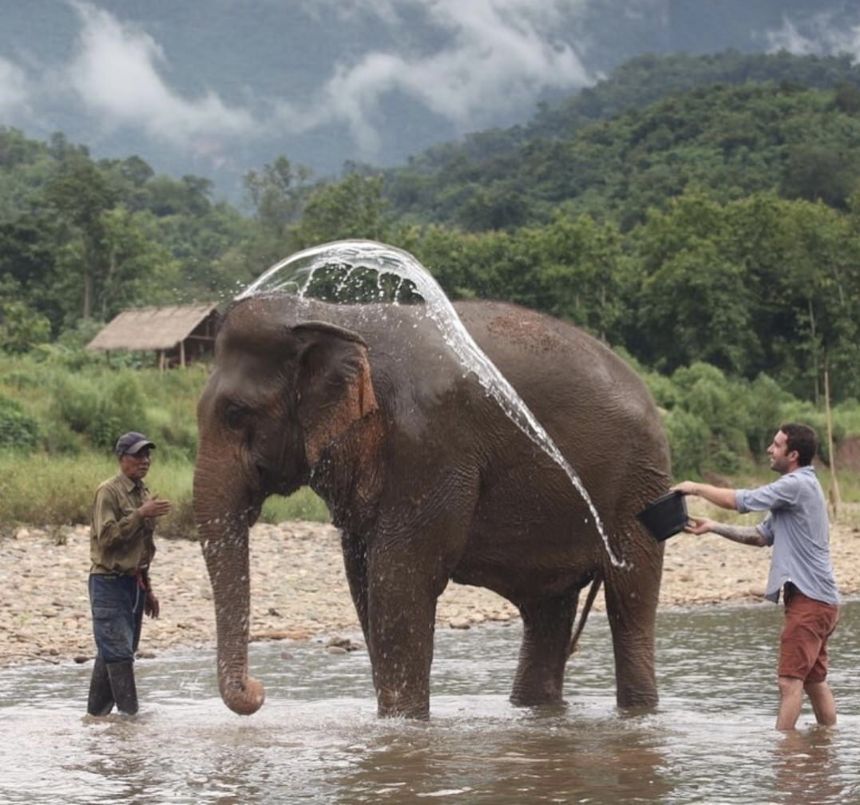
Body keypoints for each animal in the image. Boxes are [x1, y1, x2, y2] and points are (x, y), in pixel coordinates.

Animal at [193, 290, 671, 719]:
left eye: (235, 413)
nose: (258, 691)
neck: (337, 315)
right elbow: (363, 582)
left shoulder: (430, 444)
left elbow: (399, 580)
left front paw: (403, 728)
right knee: (548, 610)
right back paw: (537, 710)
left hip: (639, 487)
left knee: (629, 603)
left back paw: (638, 712)